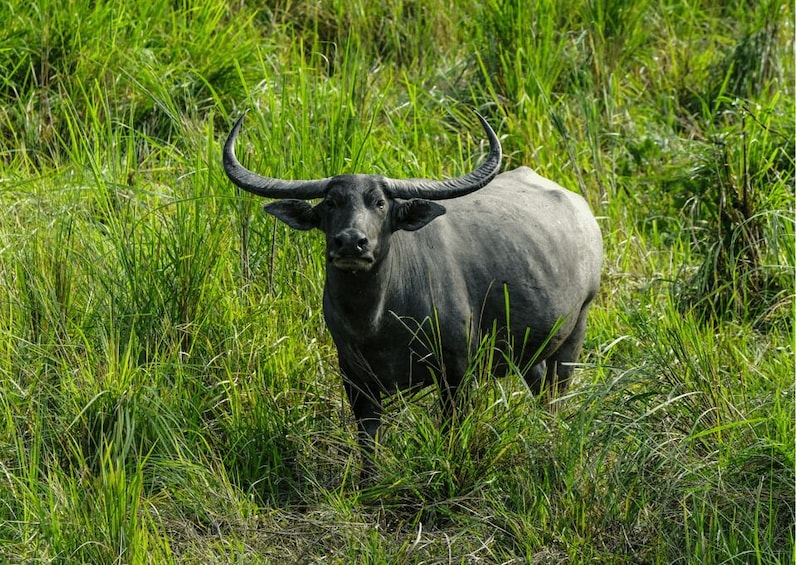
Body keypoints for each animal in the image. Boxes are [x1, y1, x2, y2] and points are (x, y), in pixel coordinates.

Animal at [221, 111, 600, 462]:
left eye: (380, 202)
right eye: (330, 202)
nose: (351, 243)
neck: (375, 321)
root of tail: (584, 213)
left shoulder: (458, 372)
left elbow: (451, 432)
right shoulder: (356, 379)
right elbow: (369, 443)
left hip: (576, 330)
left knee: (557, 392)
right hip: (530, 348)